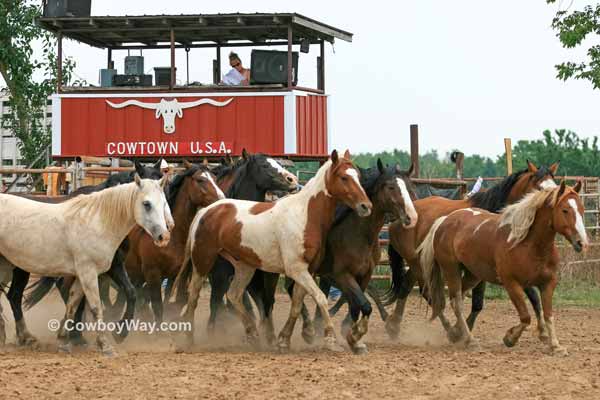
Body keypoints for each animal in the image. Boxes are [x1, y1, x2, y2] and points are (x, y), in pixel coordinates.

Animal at [0, 175, 173, 356]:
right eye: (146, 204)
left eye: (164, 203)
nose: (163, 236)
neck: (98, 222)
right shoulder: (88, 272)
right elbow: (96, 307)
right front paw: (105, 345)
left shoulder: (90, 272)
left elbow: (74, 302)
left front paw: (65, 340)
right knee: (14, 297)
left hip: (6, 266)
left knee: (12, 297)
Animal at [382, 161, 560, 340]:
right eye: (540, 187)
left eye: (556, 187)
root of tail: (399, 218)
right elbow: (477, 303)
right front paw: (463, 329)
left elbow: (534, 297)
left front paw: (543, 332)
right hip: (419, 264)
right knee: (428, 294)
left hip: (419, 264)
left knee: (407, 286)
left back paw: (394, 325)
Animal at [420, 182, 588, 356]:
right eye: (565, 210)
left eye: (582, 209)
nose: (581, 242)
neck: (528, 243)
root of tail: (444, 220)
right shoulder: (511, 283)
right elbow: (525, 316)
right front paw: (510, 338)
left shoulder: (547, 284)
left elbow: (548, 314)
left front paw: (555, 346)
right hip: (450, 269)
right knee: (456, 302)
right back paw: (470, 340)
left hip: (473, 275)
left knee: (452, 299)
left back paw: (455, 333)